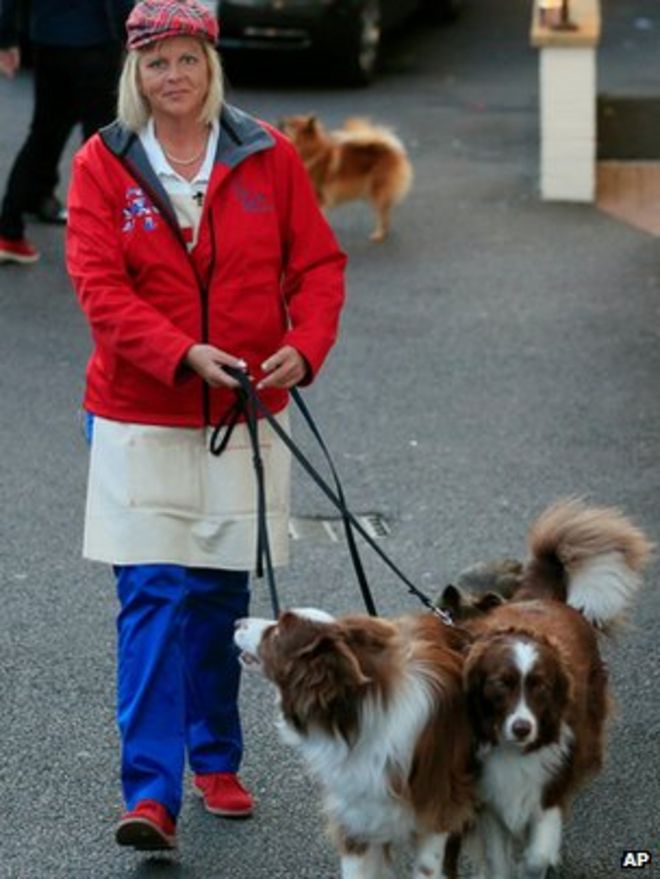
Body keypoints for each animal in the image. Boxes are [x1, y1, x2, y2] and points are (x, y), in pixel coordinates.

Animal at [278, 115, 412, 244]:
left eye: (291, 125)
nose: (280, 120)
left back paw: (379, 234)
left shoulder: (319, 199)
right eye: (288, 120)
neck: (313, 153)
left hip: (376, 193)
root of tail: (391, 150)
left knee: (383, 215)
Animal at [462, 502, 652, 879]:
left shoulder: (551, 782)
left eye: (541, 688)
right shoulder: (488, 799)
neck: (514, 752)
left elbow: (538, 852)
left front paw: (533, 864)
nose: (522, 728)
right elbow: (499, 858)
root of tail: (544, 598)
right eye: (499, 685)